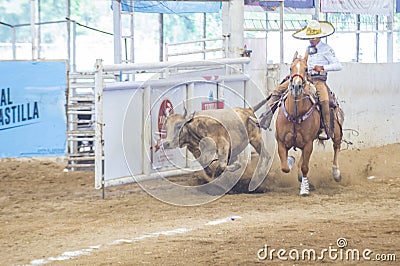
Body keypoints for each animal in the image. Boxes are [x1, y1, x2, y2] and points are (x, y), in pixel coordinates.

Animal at [276, 51, 344, 195]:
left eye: (306, 69)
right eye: (290, 68)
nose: (296, 86)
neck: (295, 115)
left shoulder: (308, 144)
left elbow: (305, 167)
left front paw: (305, 189)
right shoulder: (281, 142)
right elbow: (285, 167)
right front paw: (290, 160)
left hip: (336, 130)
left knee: (336, 146)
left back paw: (336, 173)